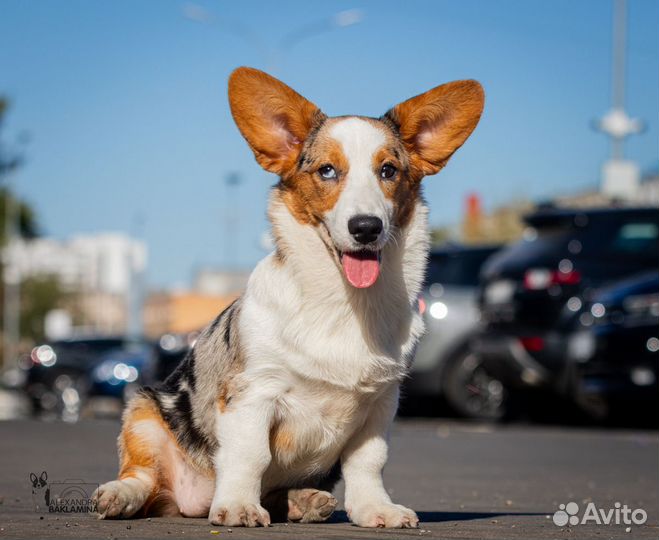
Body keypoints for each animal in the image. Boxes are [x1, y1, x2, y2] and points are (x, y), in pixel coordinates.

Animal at [93, 67, 482, 528]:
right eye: (327, 171)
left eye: (388, 171)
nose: (366, 227)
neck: (343, 303)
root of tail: (192, 502)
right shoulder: (254, 393)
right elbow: (249, 456)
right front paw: (239, 506)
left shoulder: (381, 405)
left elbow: (368, 463)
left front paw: (375, 509)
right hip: (144, 413)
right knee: (143, 478)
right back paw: (122, 495)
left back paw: (303, 502)